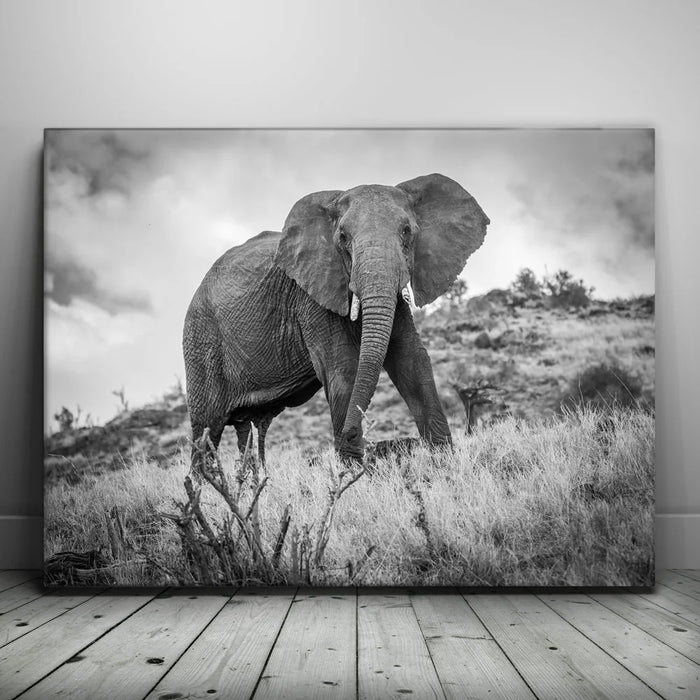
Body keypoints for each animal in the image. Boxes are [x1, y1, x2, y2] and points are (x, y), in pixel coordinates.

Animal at [183, 173, 489, 472]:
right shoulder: (312, 296)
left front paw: (445, 464)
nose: (353, 433)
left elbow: (411, 360)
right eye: (342, 237)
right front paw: (353, 474)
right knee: (208, 427)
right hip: (201, 338)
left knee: (245, 426)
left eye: (407, 231)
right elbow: (343, 368)